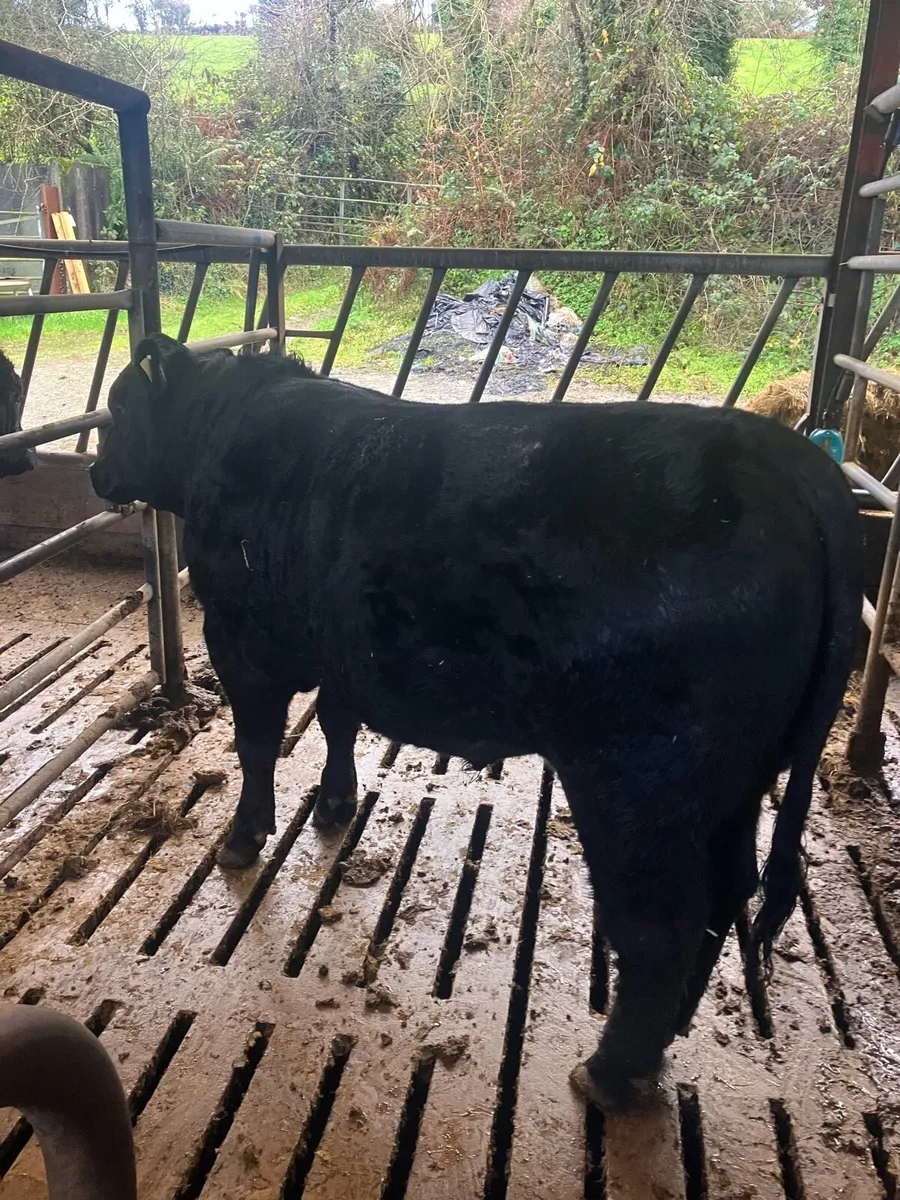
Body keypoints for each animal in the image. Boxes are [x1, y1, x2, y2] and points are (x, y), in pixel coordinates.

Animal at [90, 332, 862, 1109]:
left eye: (119, 406)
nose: (95, 470)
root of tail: (790, 461)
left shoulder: (240, 640)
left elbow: (254, 745)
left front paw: (244, 838)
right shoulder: (342, 646)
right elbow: (338, 721)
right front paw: (335, 805)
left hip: (642, 782)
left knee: (660, 927)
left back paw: (612, 1069)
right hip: (738, 782)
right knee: (728, 889)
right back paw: (669, 1031)